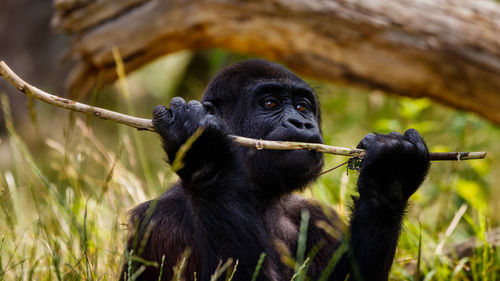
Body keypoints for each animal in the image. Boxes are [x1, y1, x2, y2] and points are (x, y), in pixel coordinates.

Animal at [121, 58, 430, 280]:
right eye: (269, 103)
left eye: (302, 107)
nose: (301, 123)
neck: (261, 197)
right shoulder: (162, 222)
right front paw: (205, 155)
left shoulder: (318, 217)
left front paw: (390, 176)